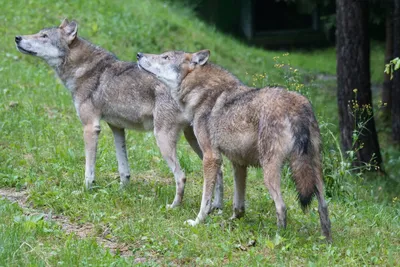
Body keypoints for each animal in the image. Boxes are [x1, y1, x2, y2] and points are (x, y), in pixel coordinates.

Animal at [14, 19, 223, 210]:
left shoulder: (90, 127)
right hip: (195, 142)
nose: (17, 38)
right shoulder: (117, 128)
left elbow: (89, 168)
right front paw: (122, 191)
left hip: (163, 139)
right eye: (39, 33)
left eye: (44, 36)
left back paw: (174, 207)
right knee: (219, 172)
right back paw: (216, 208)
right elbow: (124, 168)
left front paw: (85, 190)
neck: (85, 69)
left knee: (181, 176)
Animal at [137, 49, 332, 242]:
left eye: (165, 57)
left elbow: (205, 200)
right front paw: (231, 221)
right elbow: (239, 204)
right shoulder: (239, 163)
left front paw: (198, 221)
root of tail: (296, 106)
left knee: (282, 207)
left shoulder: (211, 158)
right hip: (315, 171)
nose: (139, 55)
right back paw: (327, 241)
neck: (203, 93)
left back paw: (277, 238)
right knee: (323, 206)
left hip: (269, 172)